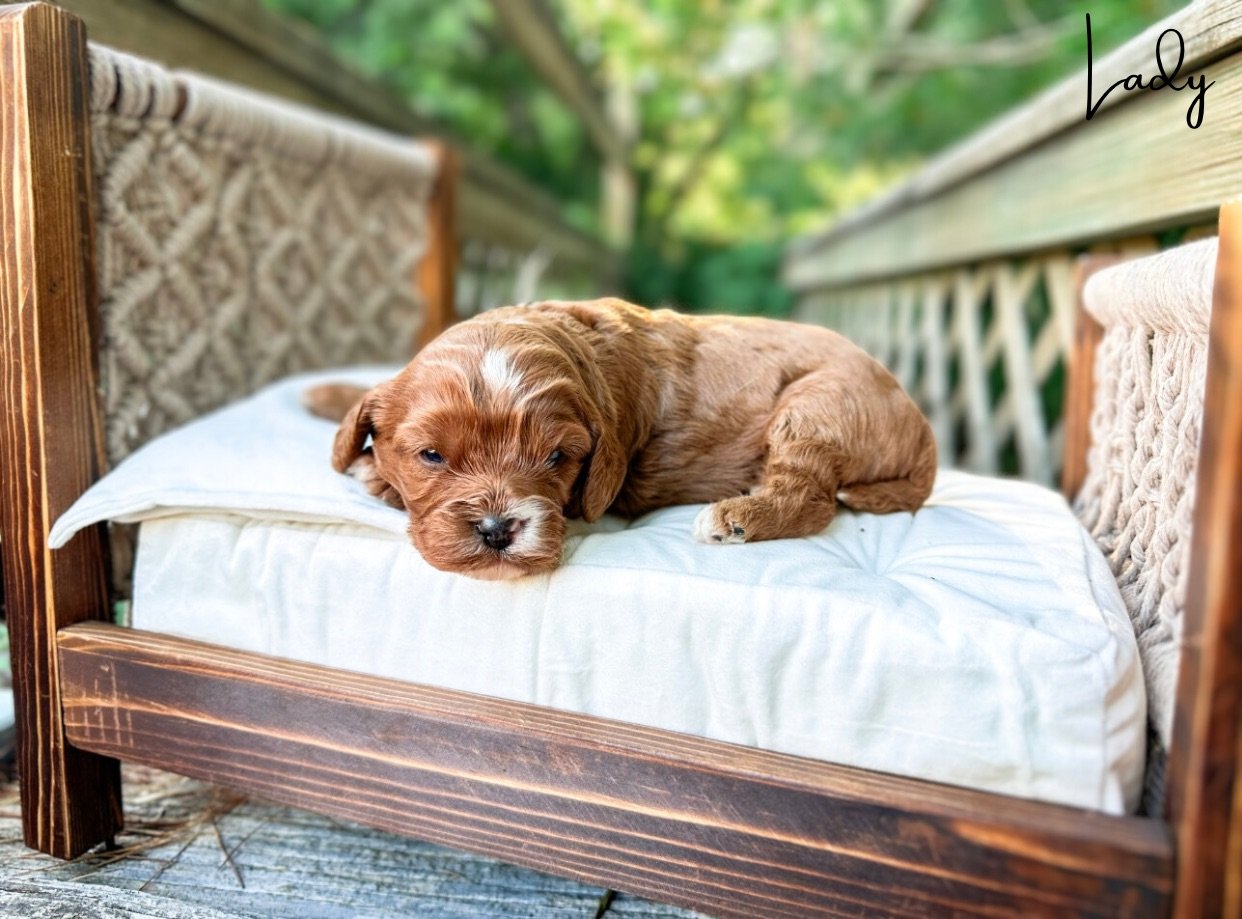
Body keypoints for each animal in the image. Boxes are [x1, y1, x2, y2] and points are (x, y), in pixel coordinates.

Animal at [310, 298, 933, 578]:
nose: (496, 530)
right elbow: (373, 393)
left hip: (816, 406)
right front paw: (328, 399)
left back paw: (735, 518)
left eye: (557, 458)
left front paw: (372, 472)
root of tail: (921, 423)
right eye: (432, 455)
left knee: (813, 499)